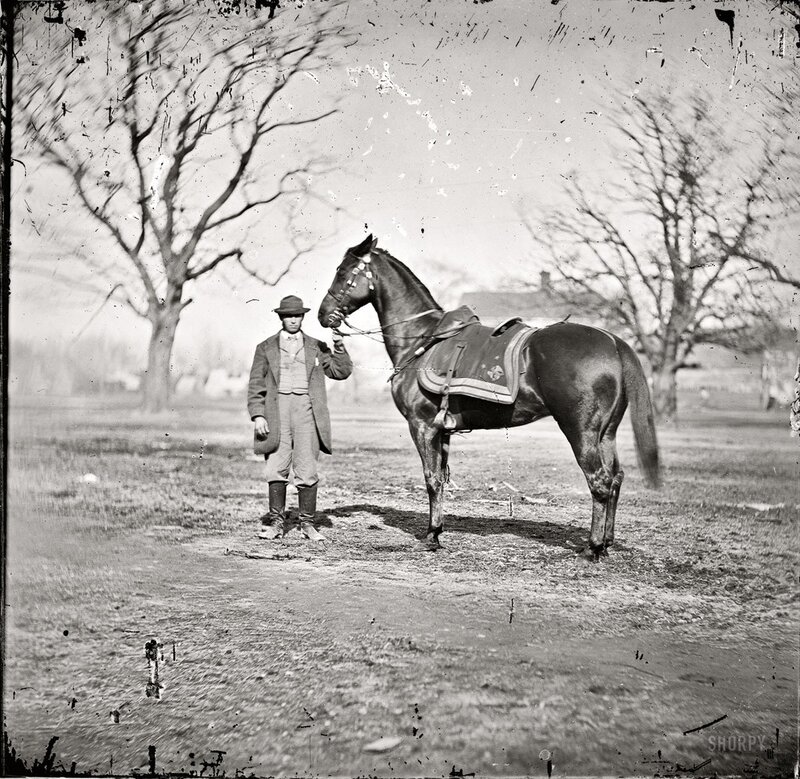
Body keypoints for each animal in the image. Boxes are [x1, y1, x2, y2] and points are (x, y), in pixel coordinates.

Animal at [318, 235, 661, 560]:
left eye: (343, 272)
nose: (323, 315)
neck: (424, 339)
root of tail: (613, 341)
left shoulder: (422, 425)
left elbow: (431, 478)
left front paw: (431, 536)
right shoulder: (442, 430)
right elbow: (441, 479)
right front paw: (437, 531)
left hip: (581, 431)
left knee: (599, 480)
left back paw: (592, 548)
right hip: (607, 433)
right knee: (615, 478)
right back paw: (606, 543)